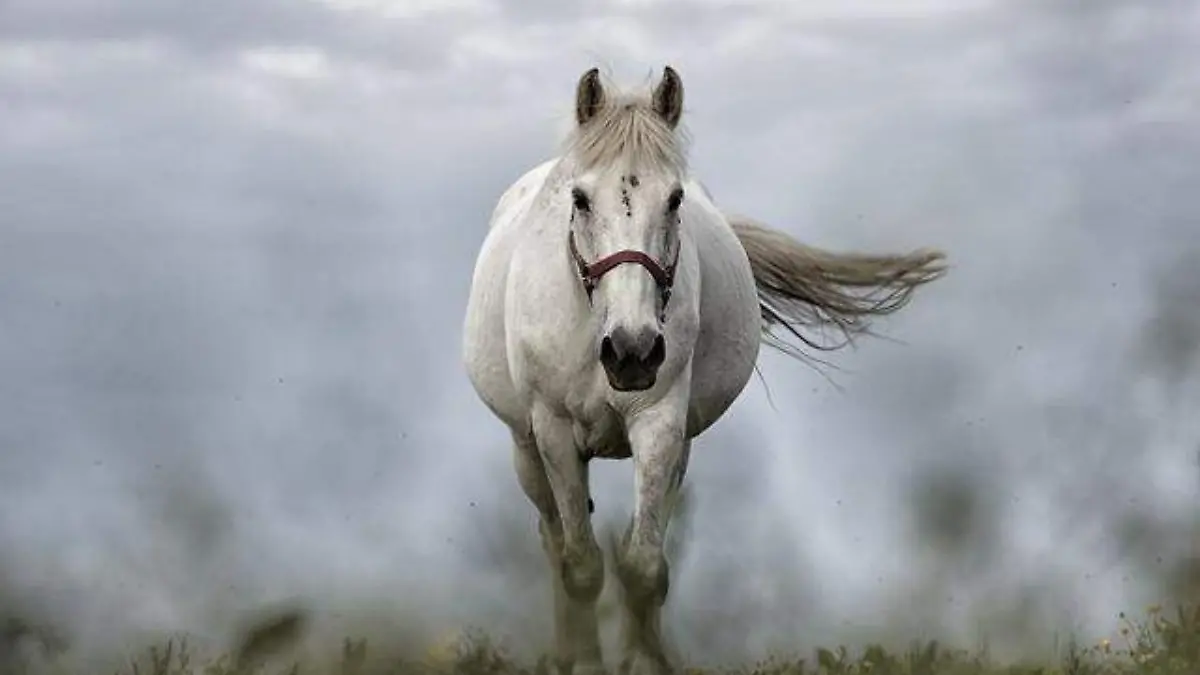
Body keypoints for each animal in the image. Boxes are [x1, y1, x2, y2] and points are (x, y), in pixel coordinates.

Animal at [461, 65, 946, 675]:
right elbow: (582, 567)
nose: (632, 351)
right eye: (580, 198)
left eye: (674, 199)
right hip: (525, 448)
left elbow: (643, 567)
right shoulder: (553, 430)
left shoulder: (661, 422)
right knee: (555, 541)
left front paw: (644, 659)